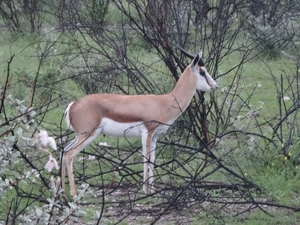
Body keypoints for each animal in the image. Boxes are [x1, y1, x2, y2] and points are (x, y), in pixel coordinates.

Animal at [61, 47, 218, 195]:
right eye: (202, 72)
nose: (215, 86)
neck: (165, 102)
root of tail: (72, 105)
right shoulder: (147, 132)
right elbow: (146, 158)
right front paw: (145, 190)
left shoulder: (155, 135)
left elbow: (152, 159)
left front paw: (153, 191)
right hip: (88, 134)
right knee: (69, 155)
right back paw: (73, 194)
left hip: (80, 136)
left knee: (64, 151)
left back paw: (61, 191)